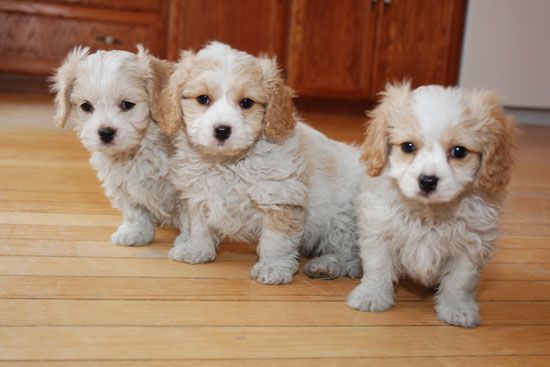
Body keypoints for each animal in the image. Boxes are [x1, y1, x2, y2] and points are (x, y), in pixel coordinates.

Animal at [49, 46, 184, 247]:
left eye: (127, 104)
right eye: (86, 106)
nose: (105, 132)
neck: (137, 151)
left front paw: (192, 245)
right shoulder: (121, 184)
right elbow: (134, 211)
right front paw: (136, 232)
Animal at [160, 42, 364, 284]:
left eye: (246, 102)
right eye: (203, 99)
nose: (222, 130)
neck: (229, 163)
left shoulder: (280, 198)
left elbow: (276, 241)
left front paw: (273, 268)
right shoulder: (198, 193)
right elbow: (198, 224)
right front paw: (196, 250)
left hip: (343, 223)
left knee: (349, 255)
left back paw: (327, 265)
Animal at [348, 82, 520, 328]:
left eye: (459, 151)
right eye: (408, 147)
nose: (427, 181)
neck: (429, 212)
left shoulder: (472, 244)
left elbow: (460, 281)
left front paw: (457, 308)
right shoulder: (380, 230)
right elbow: (378, 266)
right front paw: (371, 295)